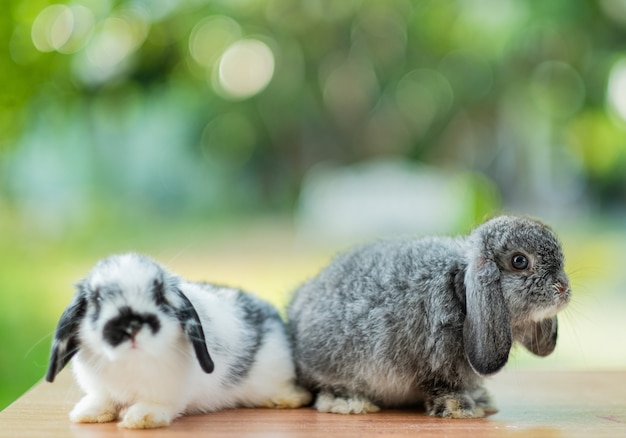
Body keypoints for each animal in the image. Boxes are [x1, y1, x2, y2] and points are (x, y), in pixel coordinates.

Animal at [45, 253, 310, 428]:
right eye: (98, 299)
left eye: (160, 296)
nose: (131, 326)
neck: (131, 361)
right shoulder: (103, 389)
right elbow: (104, 400)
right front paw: (87, 413)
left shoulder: (168, 392)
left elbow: (160, 404)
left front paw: (140, 418)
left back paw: (287, 399)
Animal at [288, 216, 572, 418]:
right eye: (520, 261)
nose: (563, 289)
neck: (461, 290)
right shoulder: (436, 362)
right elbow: (442, 386)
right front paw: (462, 409)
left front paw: (481, 400)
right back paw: (350, 403)